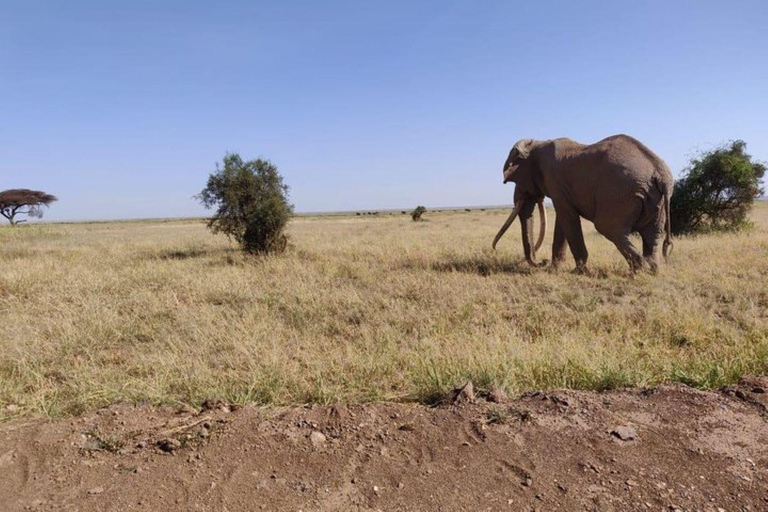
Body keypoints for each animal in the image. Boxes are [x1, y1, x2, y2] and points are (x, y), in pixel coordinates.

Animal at [492, 135, 672, 272]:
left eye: (518, 180)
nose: (542, 262)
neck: (538, 143)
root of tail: (660, 175)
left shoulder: (555, 181)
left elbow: (567, 217)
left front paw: (576, 271)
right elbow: (563, 220)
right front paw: (556, 268)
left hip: (620, 194)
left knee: (608, 228)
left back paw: (639, 271)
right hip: (655, 199)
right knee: (652, 234)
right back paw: (652, 270)